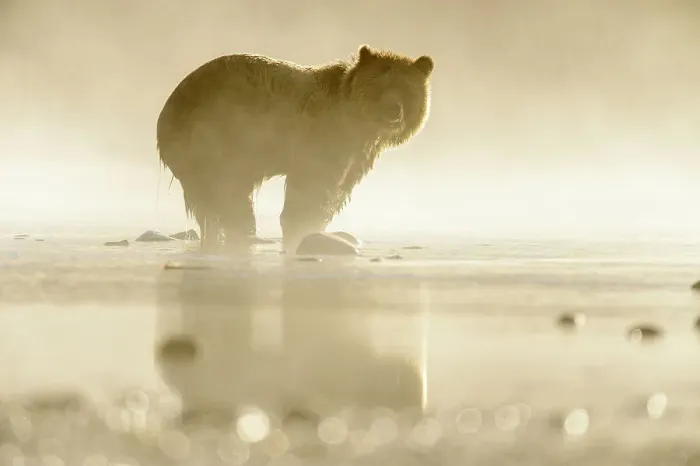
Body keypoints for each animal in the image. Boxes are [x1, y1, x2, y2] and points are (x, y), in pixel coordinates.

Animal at [156, 44, 434, 252]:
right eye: (379, 86)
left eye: (407, 89)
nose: (393, 110)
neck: (357, 123)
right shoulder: (321, 139)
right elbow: (312, 187)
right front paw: (303, 224)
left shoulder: (357, 154)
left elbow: (338, 190)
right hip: (216, 142)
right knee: (229, 196)